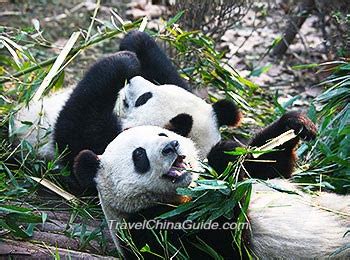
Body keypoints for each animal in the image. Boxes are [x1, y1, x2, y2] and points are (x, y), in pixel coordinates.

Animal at [72, 125, 348, 258]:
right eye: (138, 155)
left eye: (163, 133)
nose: (171, 146)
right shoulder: (148, 227)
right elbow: (226, 246)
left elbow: (265, 167)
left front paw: (294, 125)